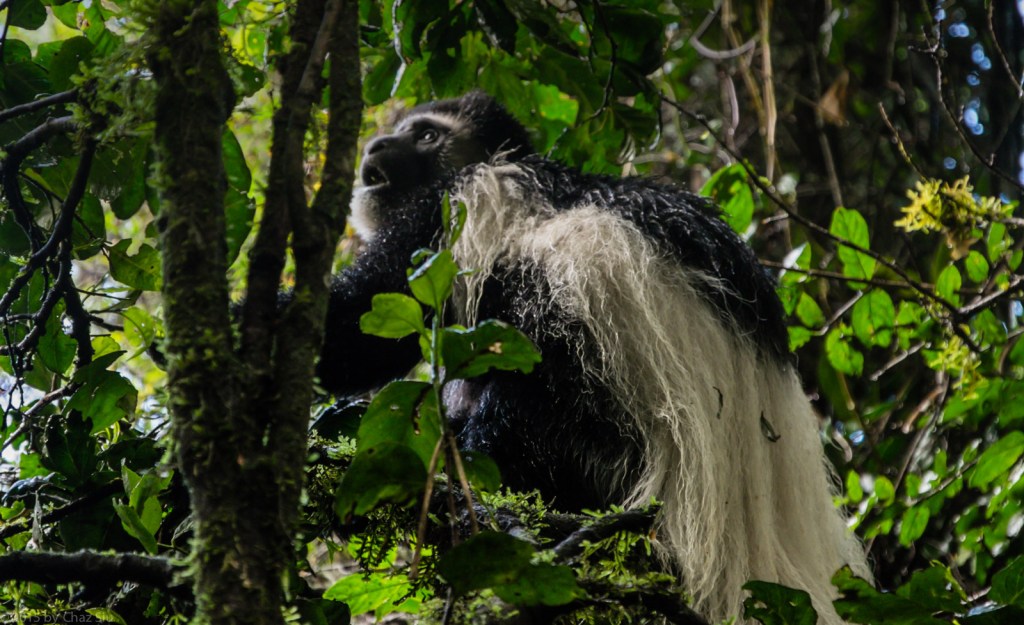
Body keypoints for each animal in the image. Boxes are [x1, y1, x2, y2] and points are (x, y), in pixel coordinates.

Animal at [319, 91, 870, 624]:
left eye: (426, 135)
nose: (376, 147)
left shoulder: (450, 204)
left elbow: (359, 325)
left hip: (600, 428)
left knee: (526, 373)